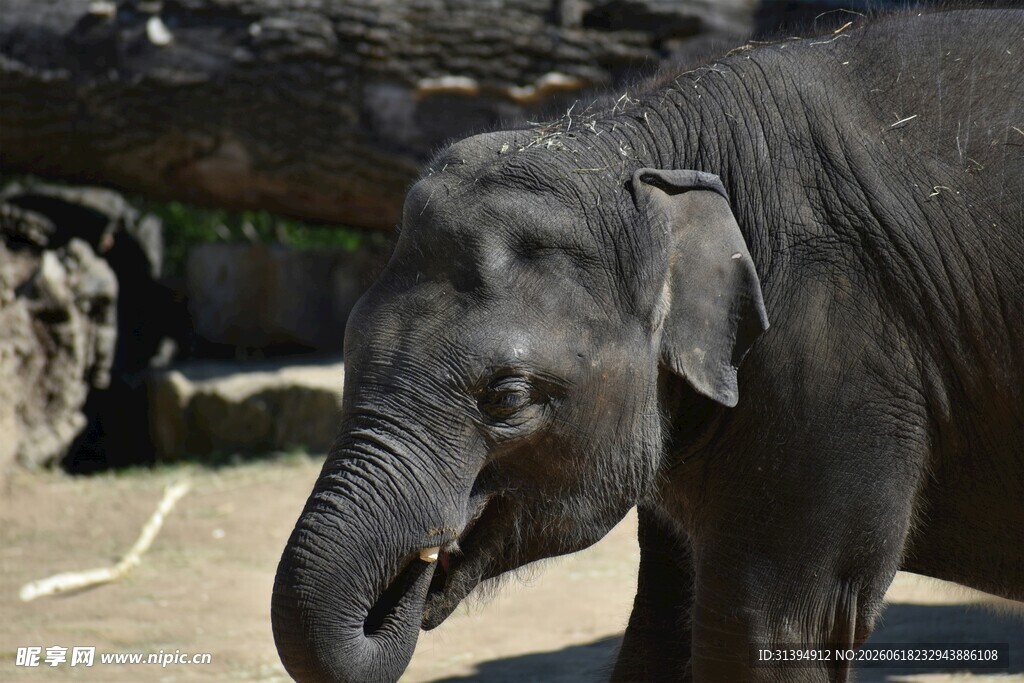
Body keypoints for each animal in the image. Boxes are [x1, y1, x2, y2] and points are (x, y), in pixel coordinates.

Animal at [272, 8, 1023, 682]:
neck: (645, 151)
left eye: (507, 398)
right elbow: (660, 624)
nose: (409, 578)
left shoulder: (839, 354)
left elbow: (776, 627)